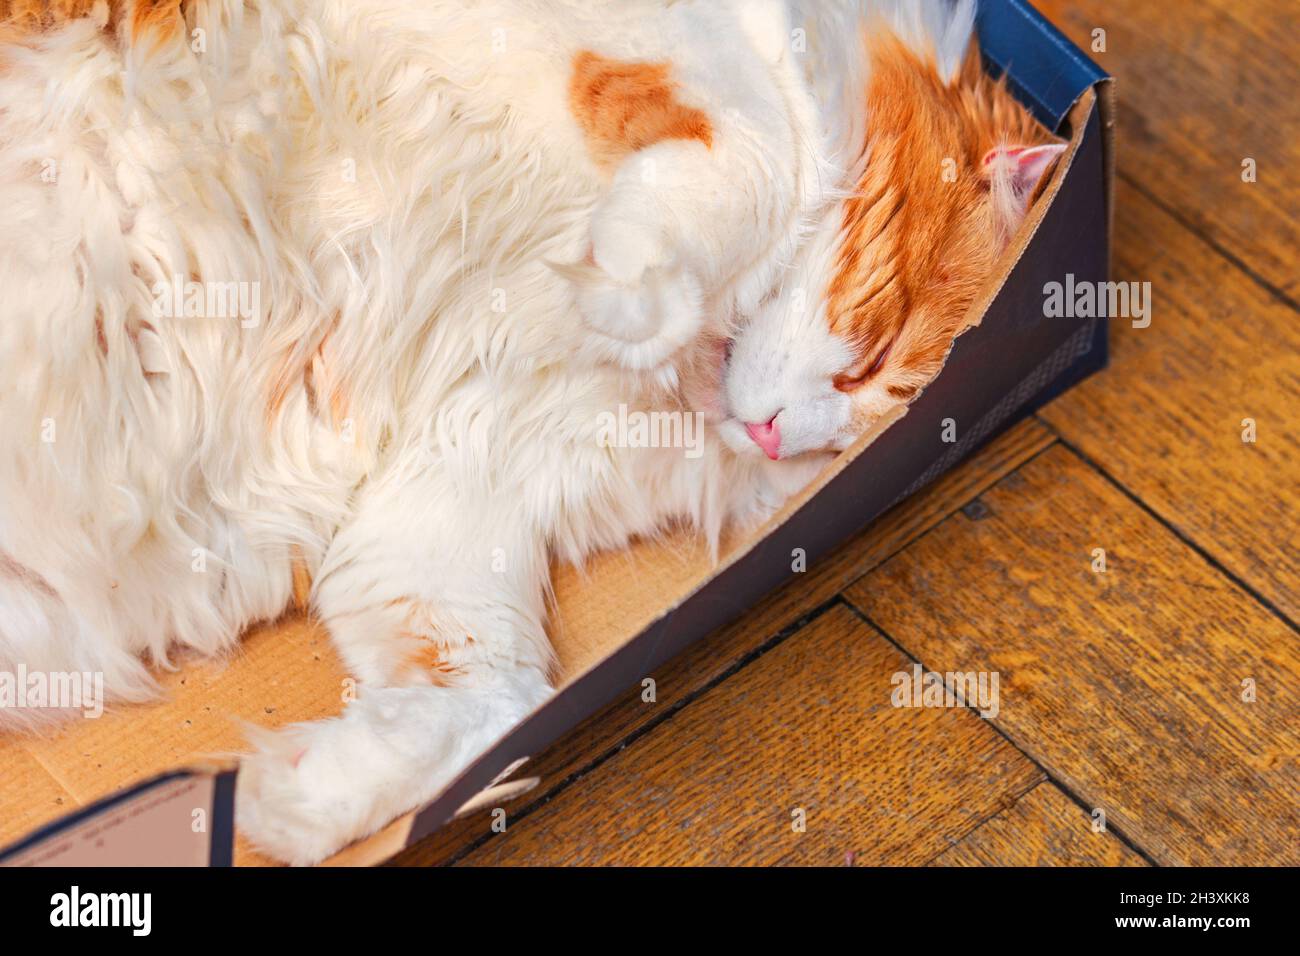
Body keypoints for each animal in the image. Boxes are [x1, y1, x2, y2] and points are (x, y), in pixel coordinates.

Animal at [0, 0, 1055, 863]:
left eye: (861, 436)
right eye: (871, 359)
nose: (778, 440)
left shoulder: (445, 501)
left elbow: (497, 701)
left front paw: (281, 805)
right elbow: (756, 152)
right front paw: (634, 291)